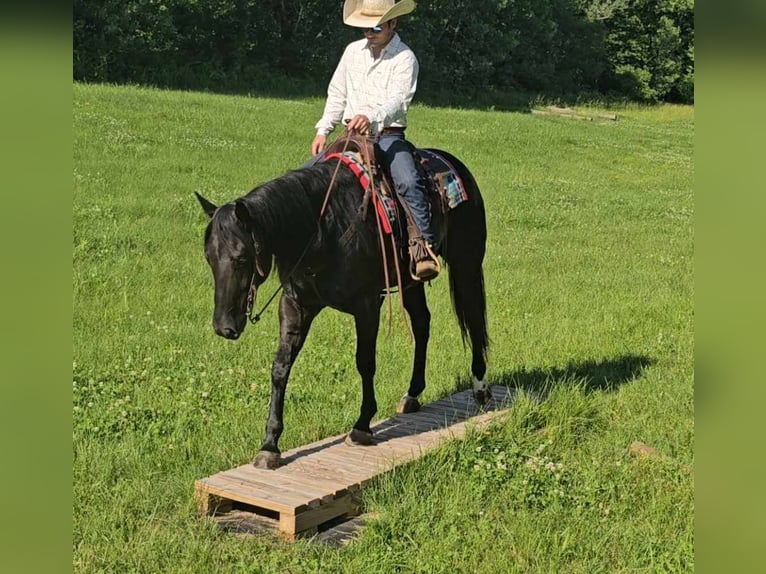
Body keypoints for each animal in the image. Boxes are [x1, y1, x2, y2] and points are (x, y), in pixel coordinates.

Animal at [195, 146, 488, 470]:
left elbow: (365, 362)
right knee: (422, 324)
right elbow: (280, 368)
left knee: (474, 320)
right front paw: (270, 444)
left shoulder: (368, 305)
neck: (323, 228)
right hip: (411, 282)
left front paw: (362, 425)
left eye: (241, 258)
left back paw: (480, 387)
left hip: (466, 264)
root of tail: (455, 165)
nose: (224, 326)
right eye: (208, 257)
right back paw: (412, 394)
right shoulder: (295, 305)